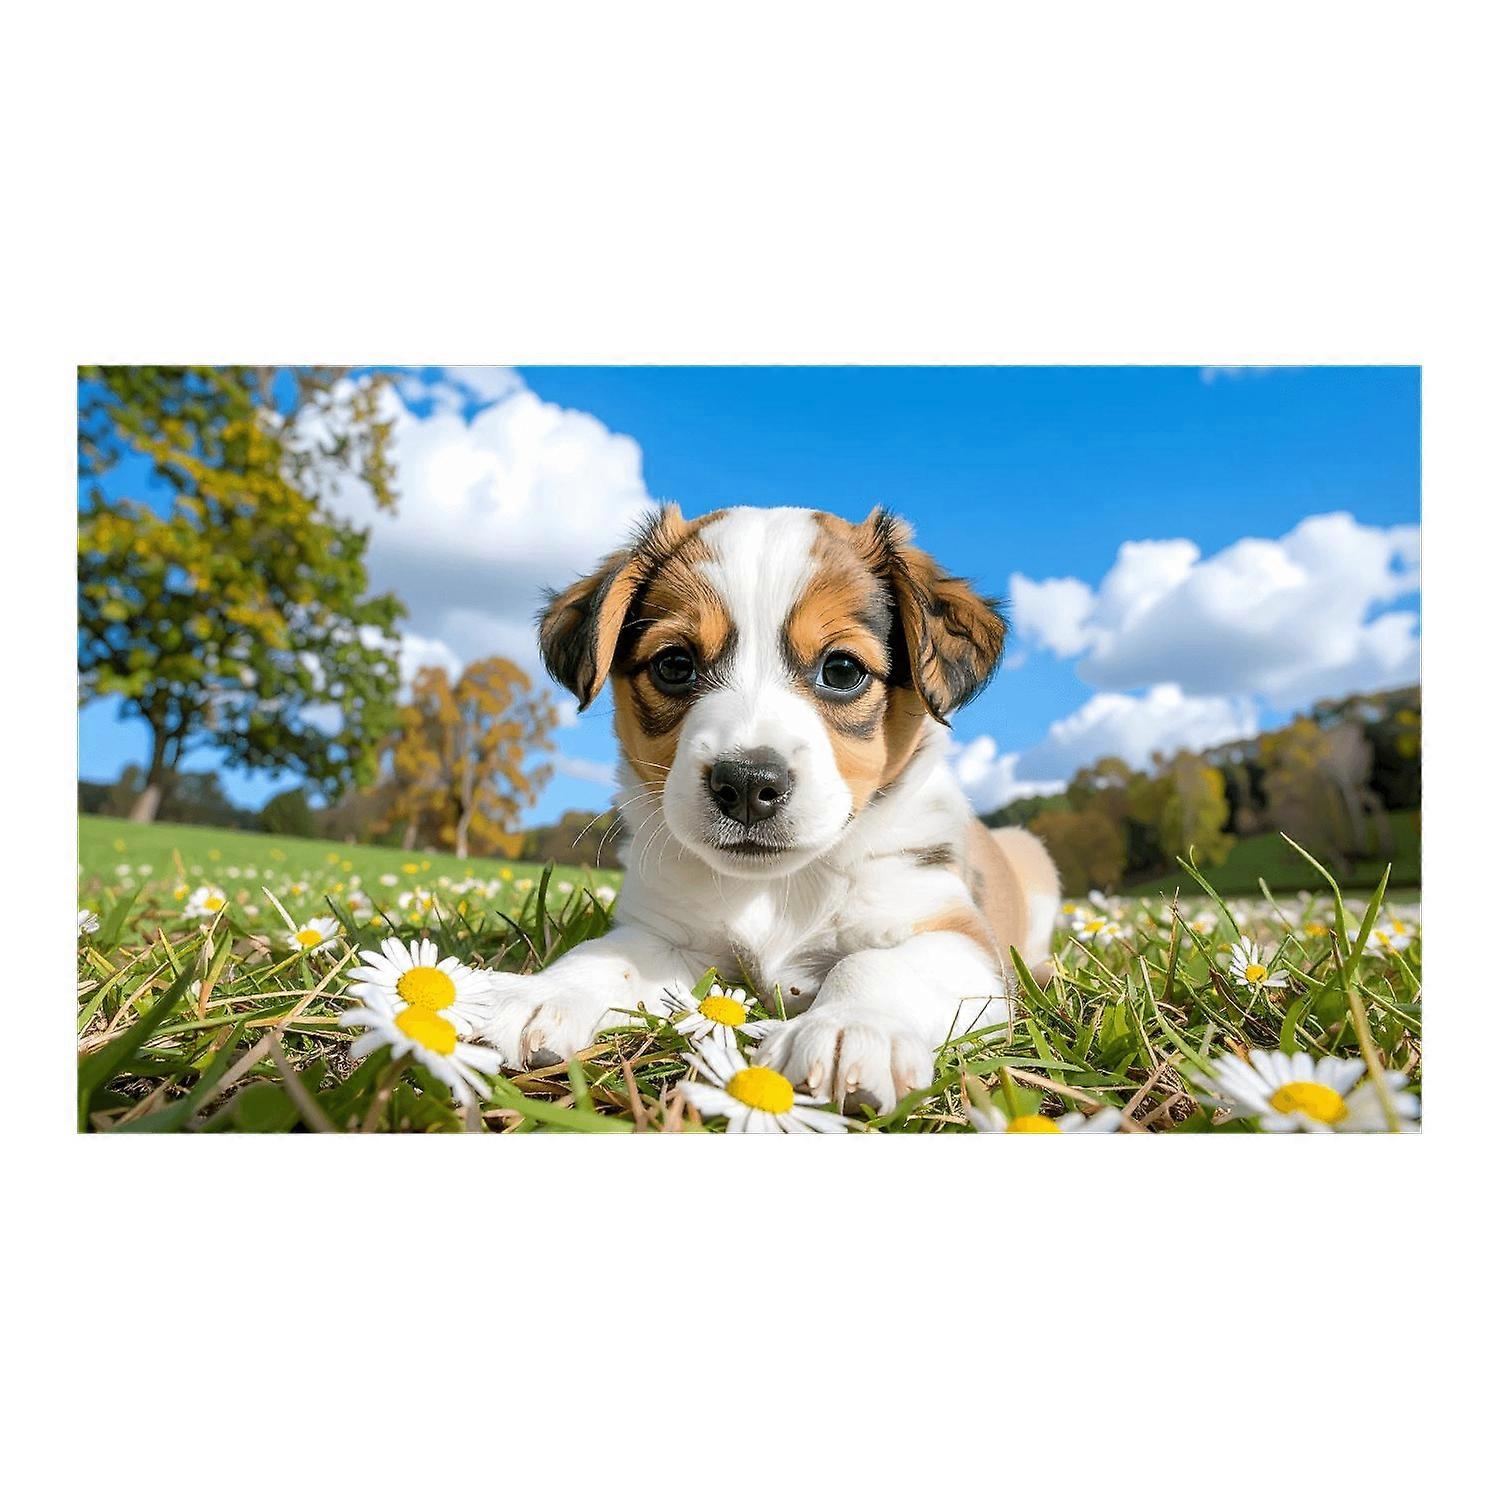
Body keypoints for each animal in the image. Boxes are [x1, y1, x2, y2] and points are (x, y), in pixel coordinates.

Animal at [479, 503, 1061, 1113]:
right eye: (675, 664)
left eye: (842, 670)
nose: (746, 783)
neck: (778, 887)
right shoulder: (670, 937)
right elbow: (609, 954)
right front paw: (548, 991)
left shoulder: (958, 939)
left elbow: (874, 962)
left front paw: (849, 1026)